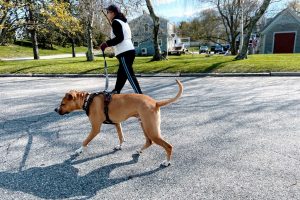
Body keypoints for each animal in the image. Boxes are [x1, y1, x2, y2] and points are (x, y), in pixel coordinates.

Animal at [55, 79, 184, 166]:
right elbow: (121, 136)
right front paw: (120, 146)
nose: (55, 110)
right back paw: (139, 150)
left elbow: (85, 140)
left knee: (168, 146)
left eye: (63, 104)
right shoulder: (117, 123)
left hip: (152, 130)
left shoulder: (95, 128)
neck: (88, 100)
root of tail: (156, 102)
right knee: (149, 141)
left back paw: (167, 162)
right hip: (145, 125)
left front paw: (79, 150)